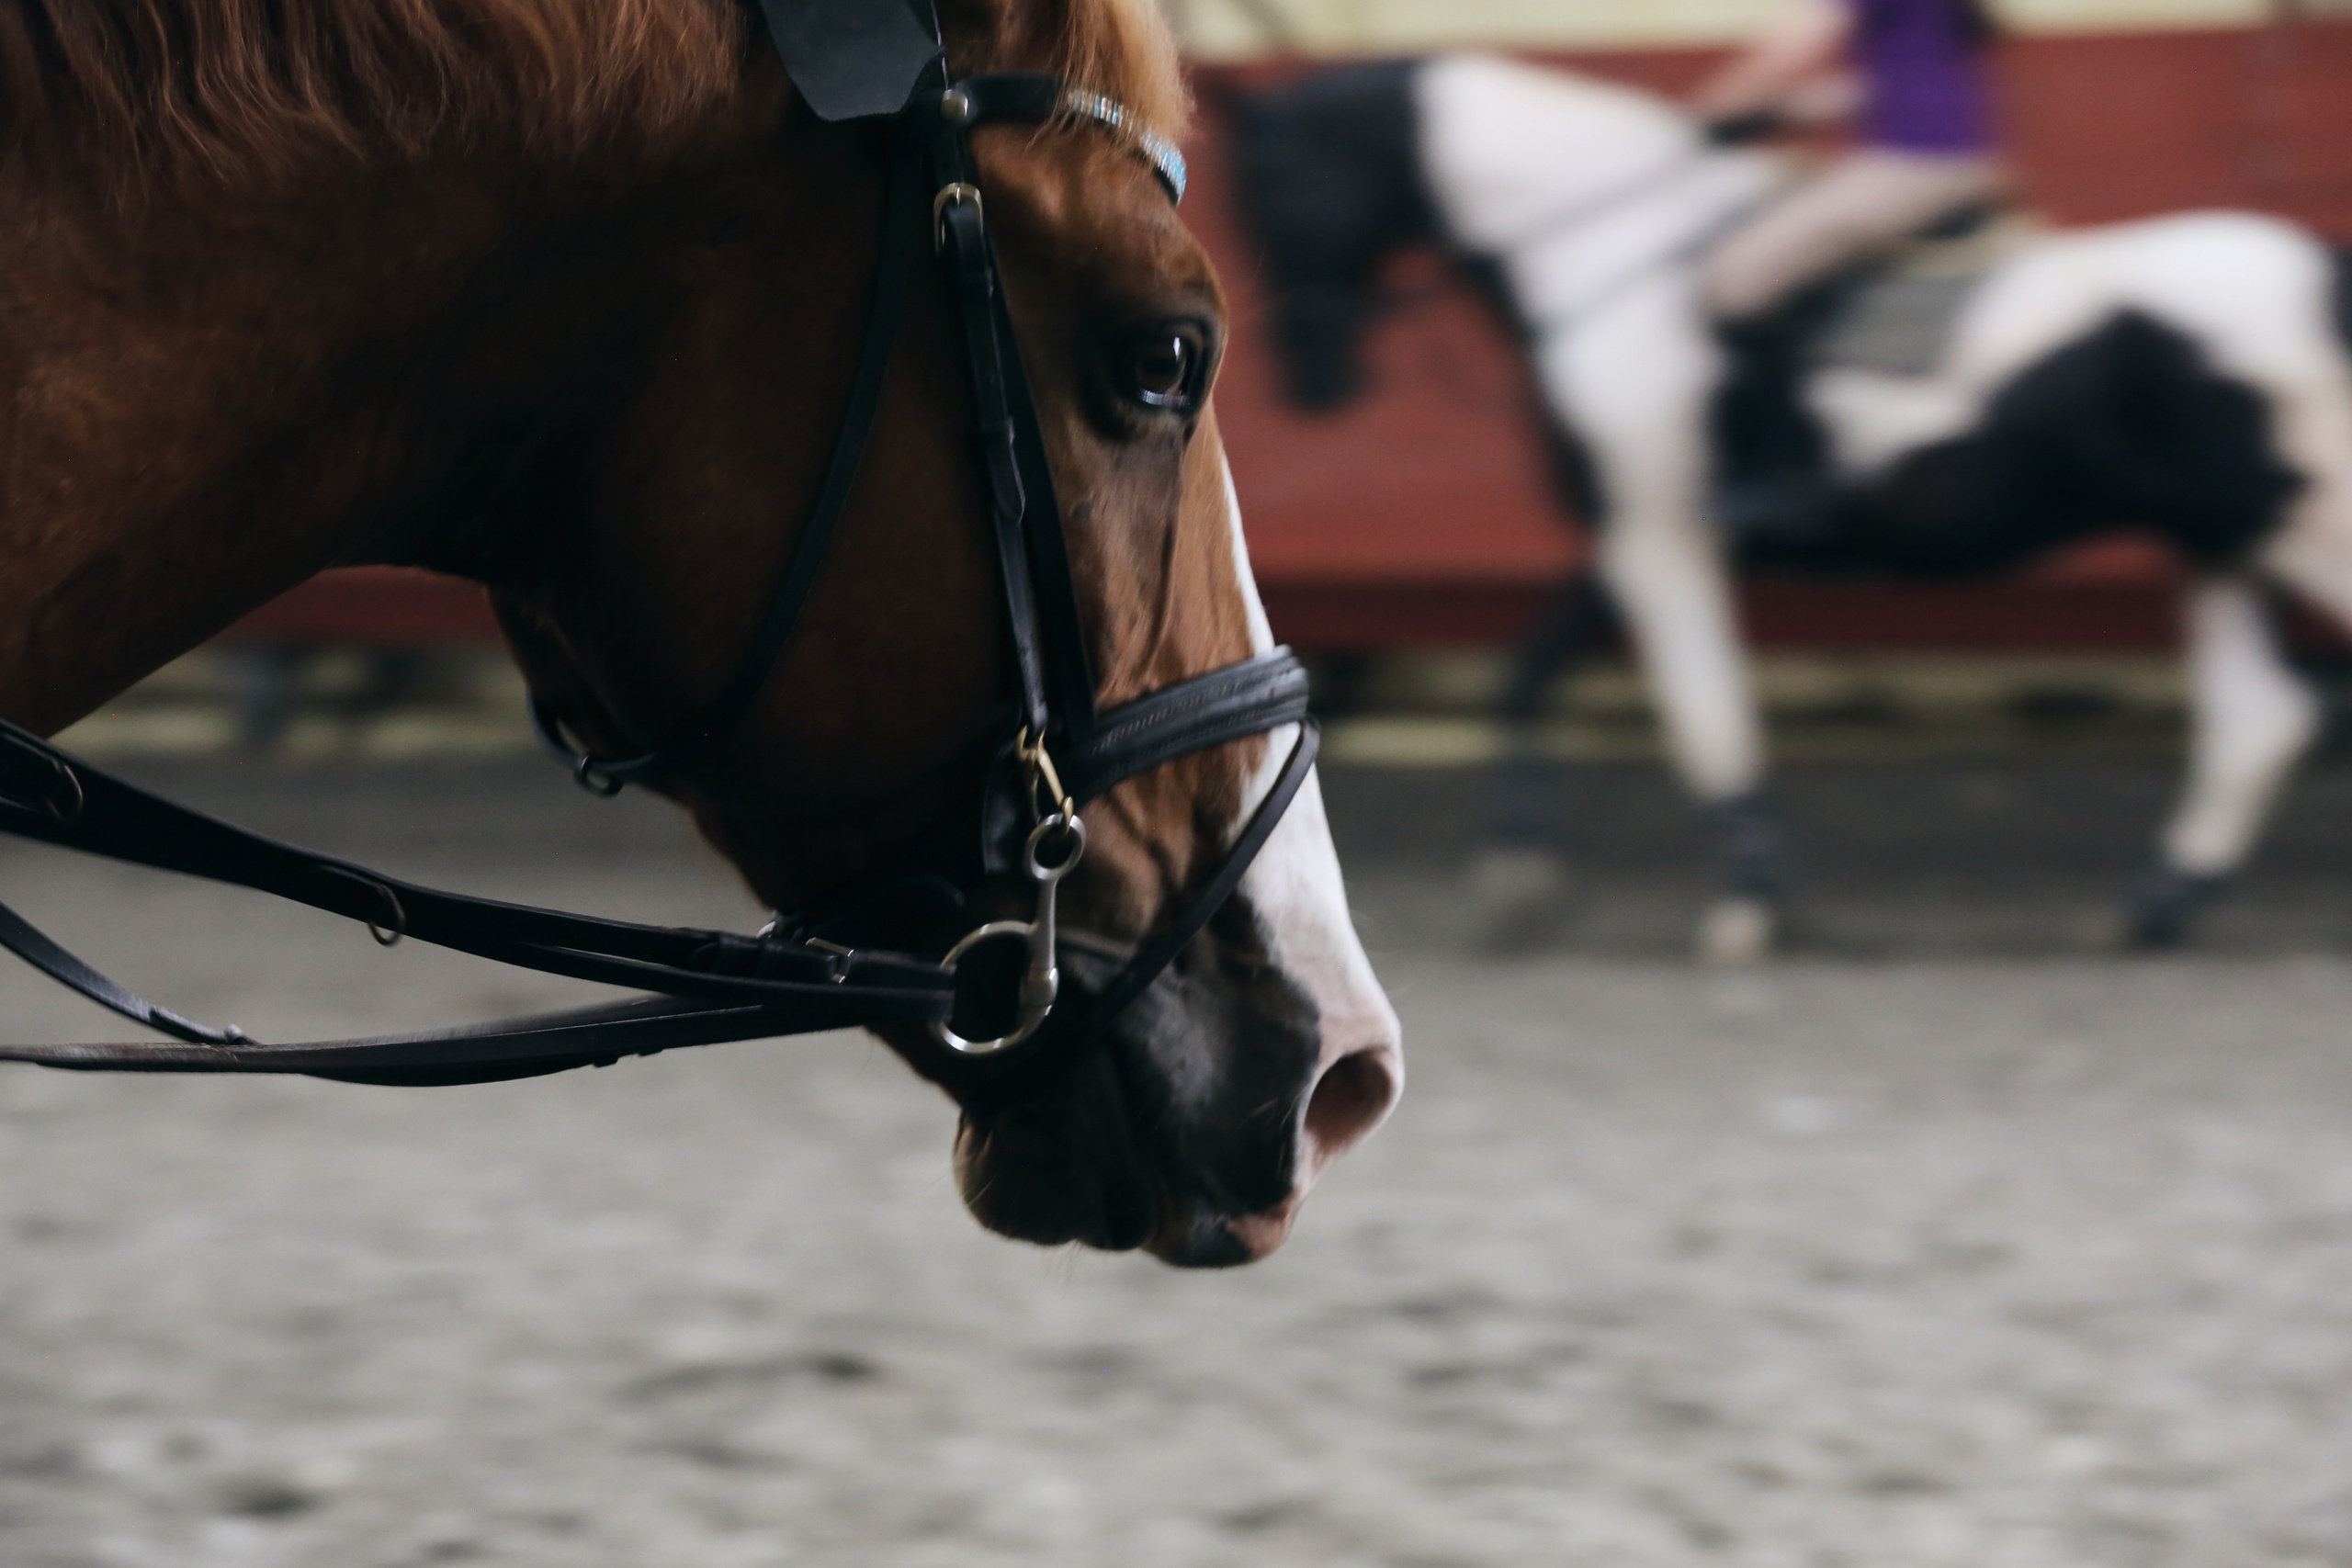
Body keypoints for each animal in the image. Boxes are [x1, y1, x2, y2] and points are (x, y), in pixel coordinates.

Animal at [1233, 53, 2352, 956]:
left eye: (1278, 189)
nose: (1311, 382)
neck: (1613, 264)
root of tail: (2318, 274)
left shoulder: (1661, 536)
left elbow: (1704, 711)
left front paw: (1747, 907)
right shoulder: (1627, 531)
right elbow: (1530, 669)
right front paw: (1518, 876)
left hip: (2302, 530)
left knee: (2270, 708)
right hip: (2224, 539)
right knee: (2259, 717)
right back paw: (2157, 908)